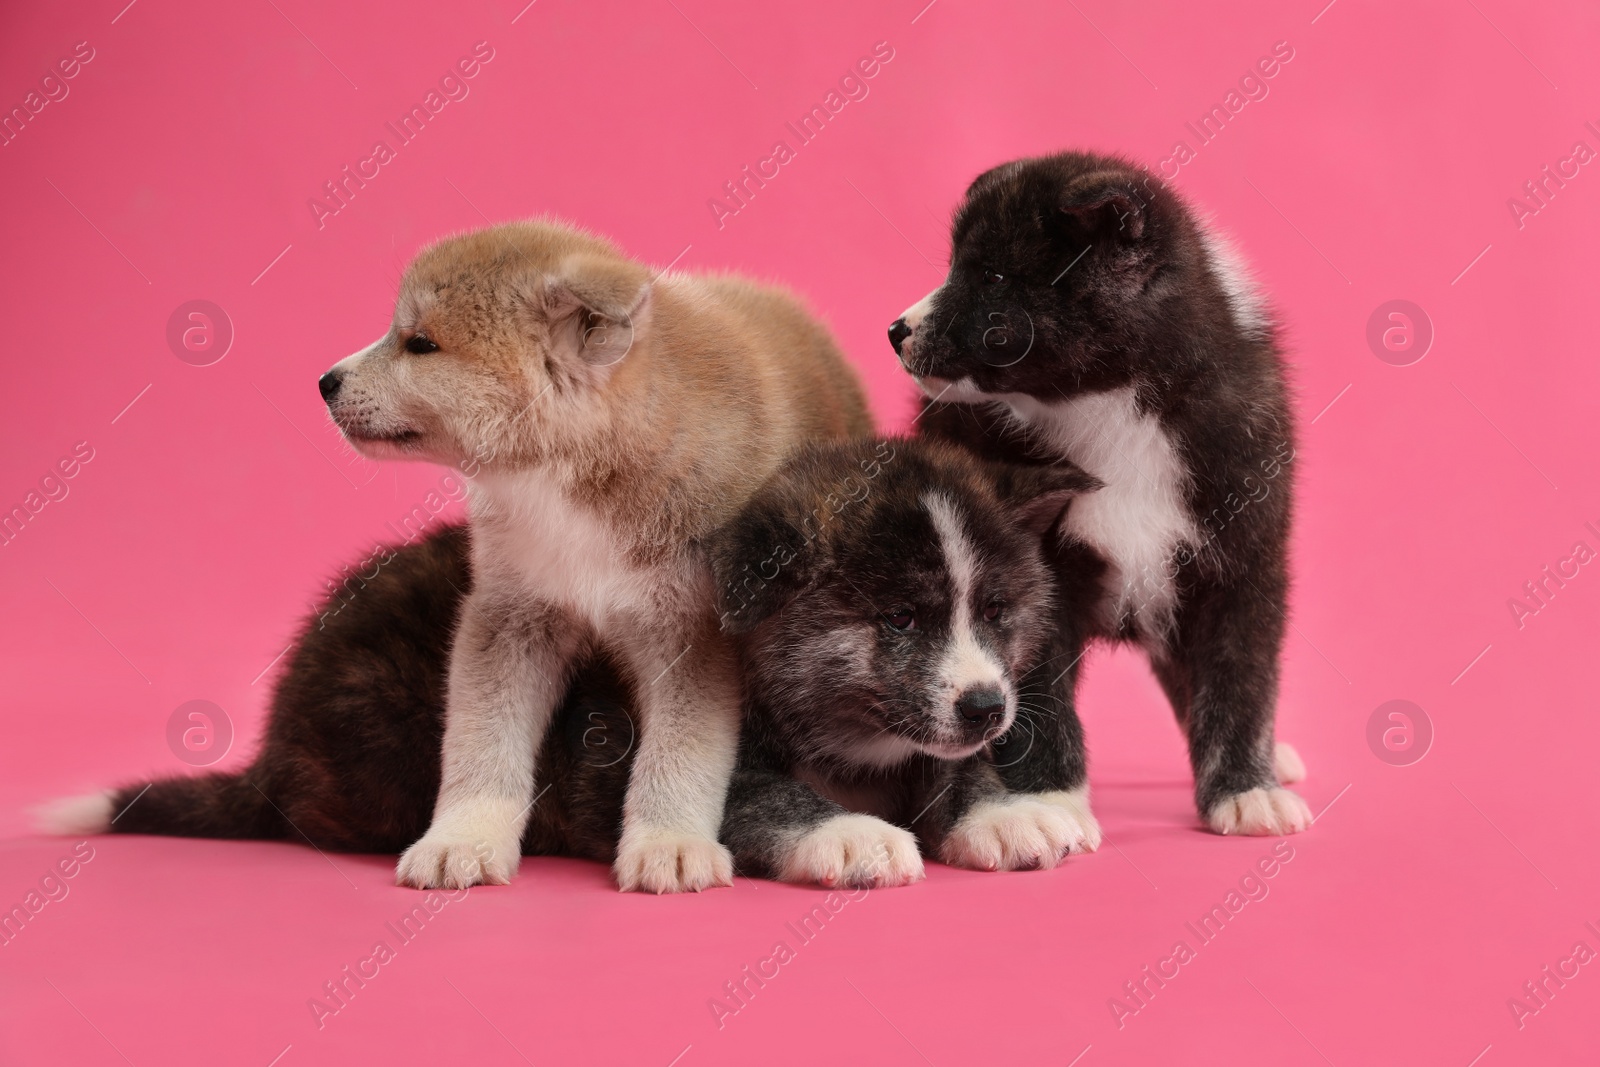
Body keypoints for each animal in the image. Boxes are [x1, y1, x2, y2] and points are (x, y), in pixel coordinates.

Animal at [46, 438, 1100, 889]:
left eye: (997, 611)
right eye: (899, 617)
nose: (988, 706)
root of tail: (269, 751)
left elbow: (950, 774)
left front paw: (1003, 811)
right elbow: (765, 800)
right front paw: (849, 835)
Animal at [318, 220, 870, 889]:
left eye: (420, 344)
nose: (325, 382)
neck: (573, 489)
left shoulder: (691, 634)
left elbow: (680, 757)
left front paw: (669, 843)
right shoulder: (510, 616)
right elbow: (481, 746)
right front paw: (463, 839)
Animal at [889, 150, 1312, 838]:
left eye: (994, 274)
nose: (895, 331)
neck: (1116, 405)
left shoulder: (1242, 553)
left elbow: (1239, 676)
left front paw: (1247, 790)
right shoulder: (1029, 576)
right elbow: (1037, 696)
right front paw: (1049, 800)